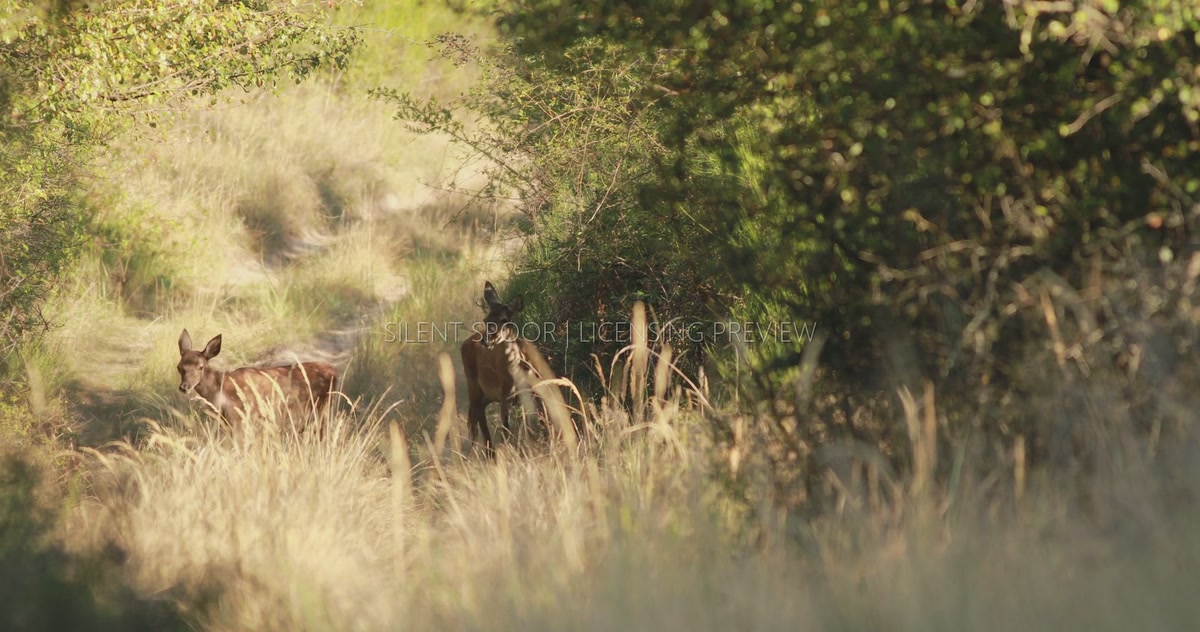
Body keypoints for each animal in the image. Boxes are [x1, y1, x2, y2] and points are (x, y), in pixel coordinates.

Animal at [176, 328, 338, 436]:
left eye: (201, 367)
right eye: (179, 367)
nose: (184, 387)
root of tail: (333, 370)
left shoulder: (243, 417)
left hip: (322, 409)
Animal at [460, 281, 561, 457]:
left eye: (504, 319)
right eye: (486, 319)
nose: (486, 340)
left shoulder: (533, 391)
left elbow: (535, 423)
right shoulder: (504, 394)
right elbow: (506, 427)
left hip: (488, 394)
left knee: (476, 414)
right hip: (472, 383)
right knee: (476, 415)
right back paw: (488, 453)